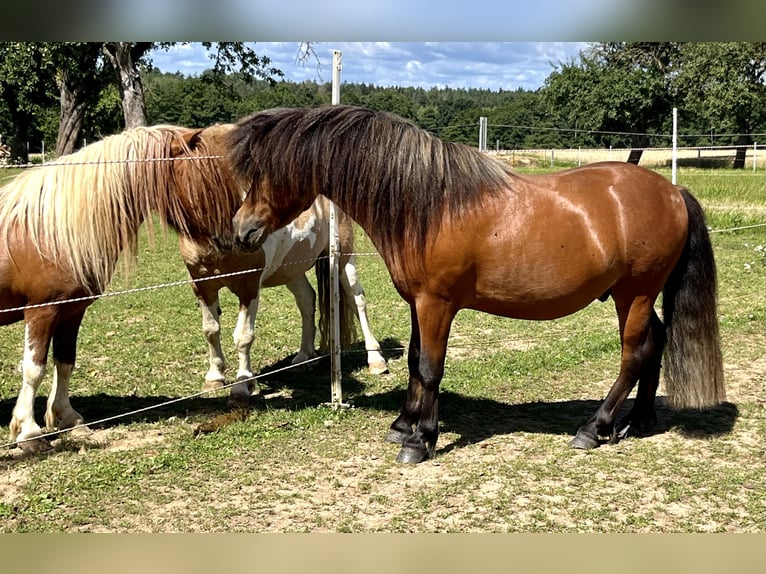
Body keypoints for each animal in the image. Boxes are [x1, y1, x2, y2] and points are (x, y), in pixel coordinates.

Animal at [226, 106, 728, 466]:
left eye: (268, 173)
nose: (242, 230)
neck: (428, 204)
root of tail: (672, 191)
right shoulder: (418, 302)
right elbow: (414, 361)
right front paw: (404, 424)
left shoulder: (436, 304)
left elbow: (430, 367)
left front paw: (420, 441)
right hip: (638, 296)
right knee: (656, 342)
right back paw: (638, 420)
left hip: (635, 294)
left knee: (634, 354)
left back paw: (595, 428)